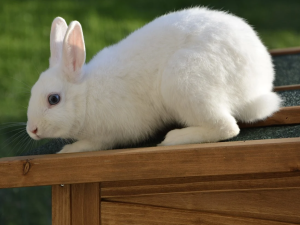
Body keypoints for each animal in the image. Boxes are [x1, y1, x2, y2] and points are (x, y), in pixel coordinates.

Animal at [25, 7, 282, 154]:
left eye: (54, 99)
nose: (32, 130)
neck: (87, 94)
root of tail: (255, 89)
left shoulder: (111, 133)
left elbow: (94, 145)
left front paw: (68, 149)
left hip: (184, 81)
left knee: (227, 127)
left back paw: (174, 139)